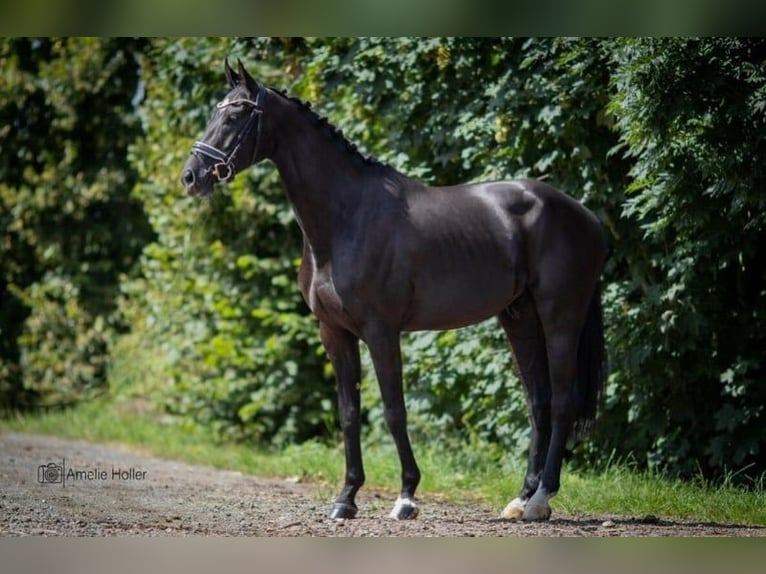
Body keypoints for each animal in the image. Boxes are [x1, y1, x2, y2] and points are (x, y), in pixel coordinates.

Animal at [181, 60, 608, 522]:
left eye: (237, 114)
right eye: (216, 111)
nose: (191, 176)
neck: (345, 218)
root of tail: (586, 216)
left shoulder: (381, 332)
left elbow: (393, 411)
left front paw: (406, 496)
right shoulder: (334, 333)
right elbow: (350, 413)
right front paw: (346, 498)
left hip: (560, 316)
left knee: (562, 401)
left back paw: (542, 498)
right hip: (520, 317)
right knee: (538, 403)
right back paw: (522, 498)